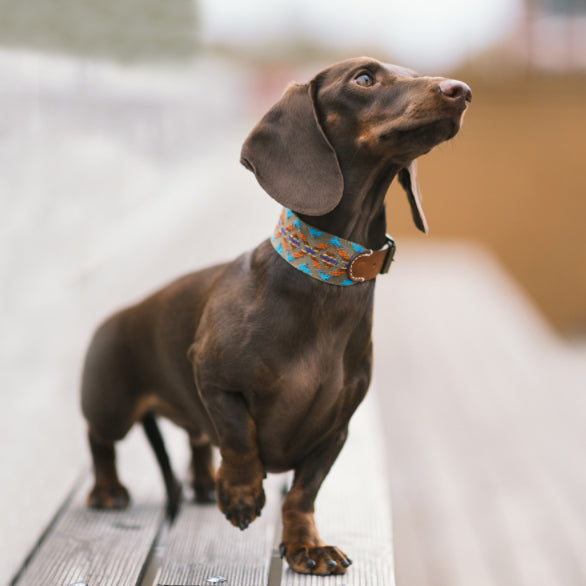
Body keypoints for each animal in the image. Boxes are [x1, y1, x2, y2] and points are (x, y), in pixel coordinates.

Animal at [80, 57, 468, 572]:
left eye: (410, 68)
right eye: (364, 78)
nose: (462, 90)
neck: (327, 275)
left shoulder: (335, 430)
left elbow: (302, 494)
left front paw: (307, 546)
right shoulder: (214, 378)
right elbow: (238, 437)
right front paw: (241, 494)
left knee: (196, 440)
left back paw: (202, 483)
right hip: (110, 406)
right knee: (101, 442)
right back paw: (109, 490)